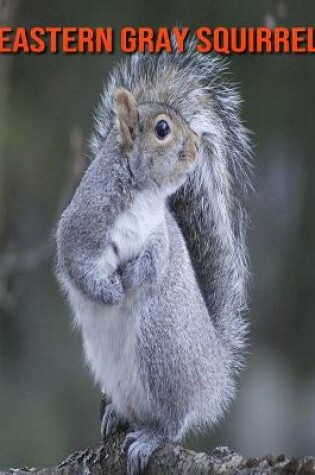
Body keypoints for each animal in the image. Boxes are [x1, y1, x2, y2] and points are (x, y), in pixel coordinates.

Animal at [55, 36, 252, 475]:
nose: (195, 146)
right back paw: (117, 414)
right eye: (162, 129)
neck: (142, 194)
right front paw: (107, 290)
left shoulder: (161, 237)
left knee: (173, 420)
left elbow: (153, 265)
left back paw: (151, 436)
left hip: (161, 346)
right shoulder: (80, 228)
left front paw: (128, 280)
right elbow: (78, 266)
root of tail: (215, 373)